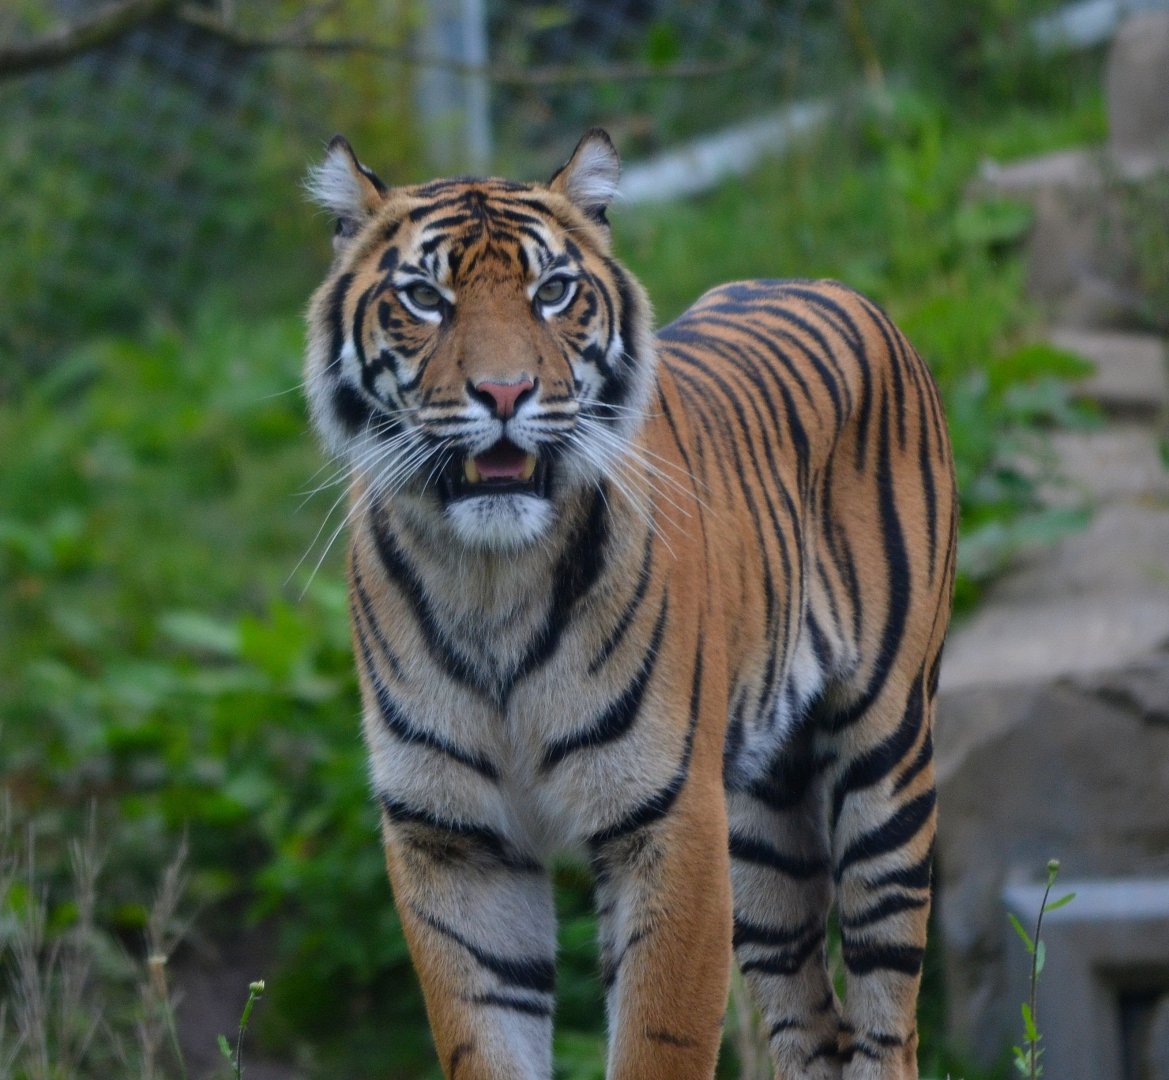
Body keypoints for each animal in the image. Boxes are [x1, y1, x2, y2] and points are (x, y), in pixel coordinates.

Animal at [302, 128, 956, 1080]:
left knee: (883, 1015)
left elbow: (658, 1038)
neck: (488, 579)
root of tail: (829, 283)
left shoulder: (667, 820)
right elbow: (485, 1037)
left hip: (886, 758)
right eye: (424, 298)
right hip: (761, 822)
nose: (504, 394)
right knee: (807, 1020)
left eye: (552, 292)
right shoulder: (452, 840)